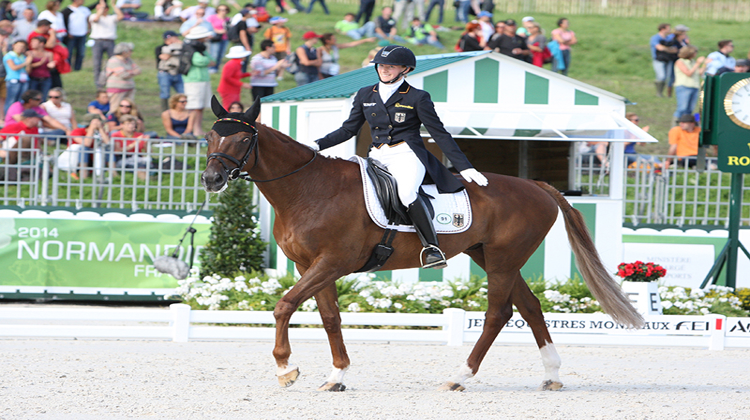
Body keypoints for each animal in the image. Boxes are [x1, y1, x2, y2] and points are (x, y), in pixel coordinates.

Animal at [201, 97, 648, 390]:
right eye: (208, 137)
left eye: (240, 141)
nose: (211, 179)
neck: (307, 189)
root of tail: (536, 186)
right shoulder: (310, 265)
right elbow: (329, 318)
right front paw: (337, 375)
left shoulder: (333, 262)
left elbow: (284, 306)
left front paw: (285, 369)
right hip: (490, 256)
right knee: (530, 307)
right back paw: (551, 375)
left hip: (502, 259)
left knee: (498, 312)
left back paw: (460, 376)